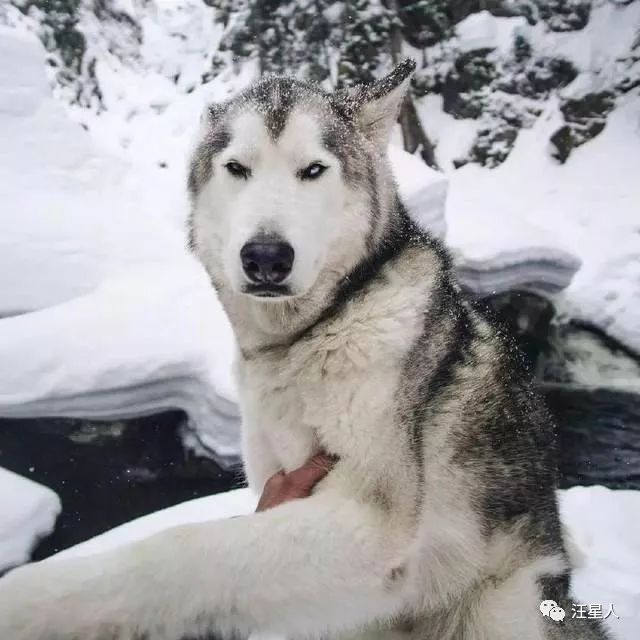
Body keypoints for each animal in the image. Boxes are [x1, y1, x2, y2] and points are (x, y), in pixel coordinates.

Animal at [0, 60, 608, 640]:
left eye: (313, 169)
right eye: (237, 168)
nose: (266, 256)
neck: (310, 337)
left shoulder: (370, 523)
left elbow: (181, 549)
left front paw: (31, 601)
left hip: (504, 607)